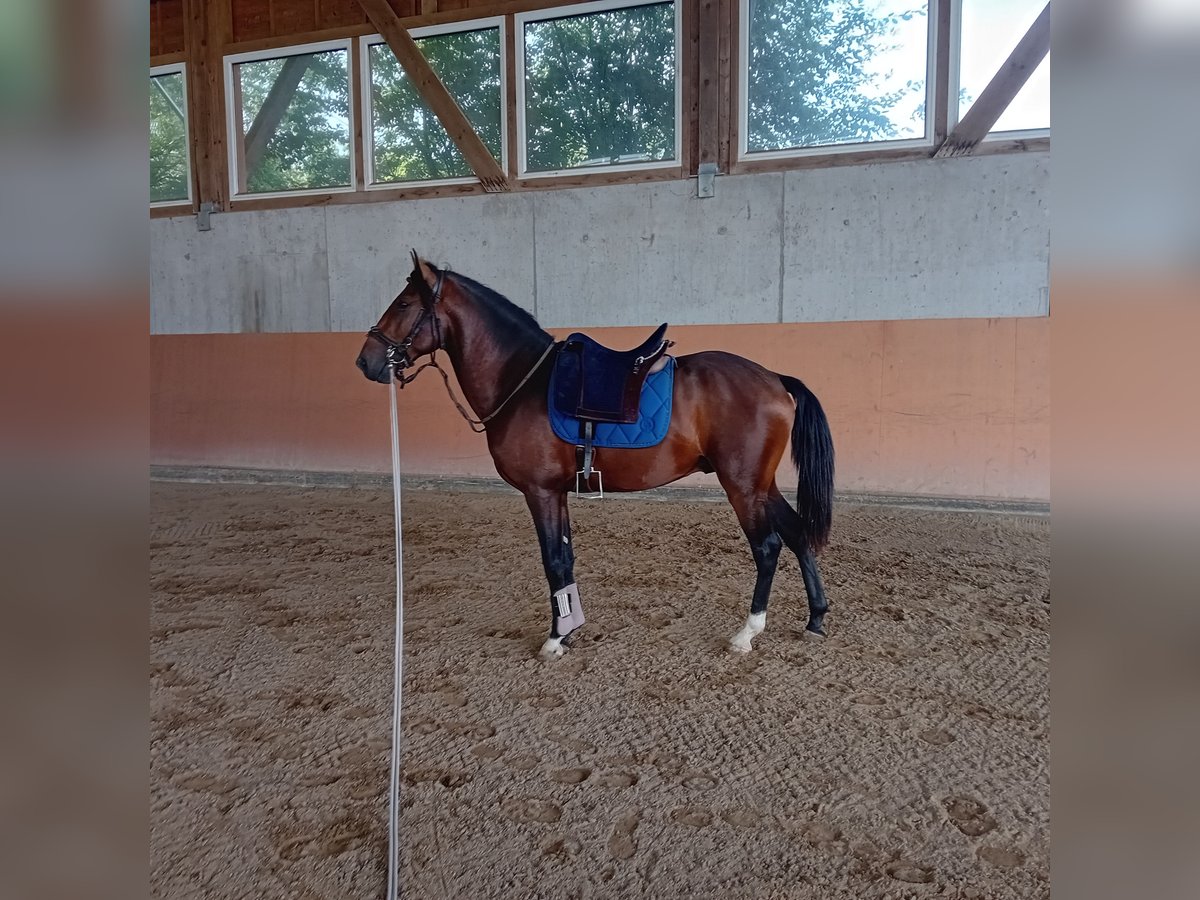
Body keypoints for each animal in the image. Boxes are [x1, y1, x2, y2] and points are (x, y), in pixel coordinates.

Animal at [350, 254, 830, 662]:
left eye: (404, 303)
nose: (365, 362)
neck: (522, 382)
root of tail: (774, 378)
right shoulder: (557, 492)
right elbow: (565, 561)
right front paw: (569, 627)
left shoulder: (540, 492)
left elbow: (552, 562)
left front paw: (555, 639)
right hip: (761, 485)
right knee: (797, 534)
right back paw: (816, 618)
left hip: (742, 487)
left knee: (768, 547)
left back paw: (747, 633)